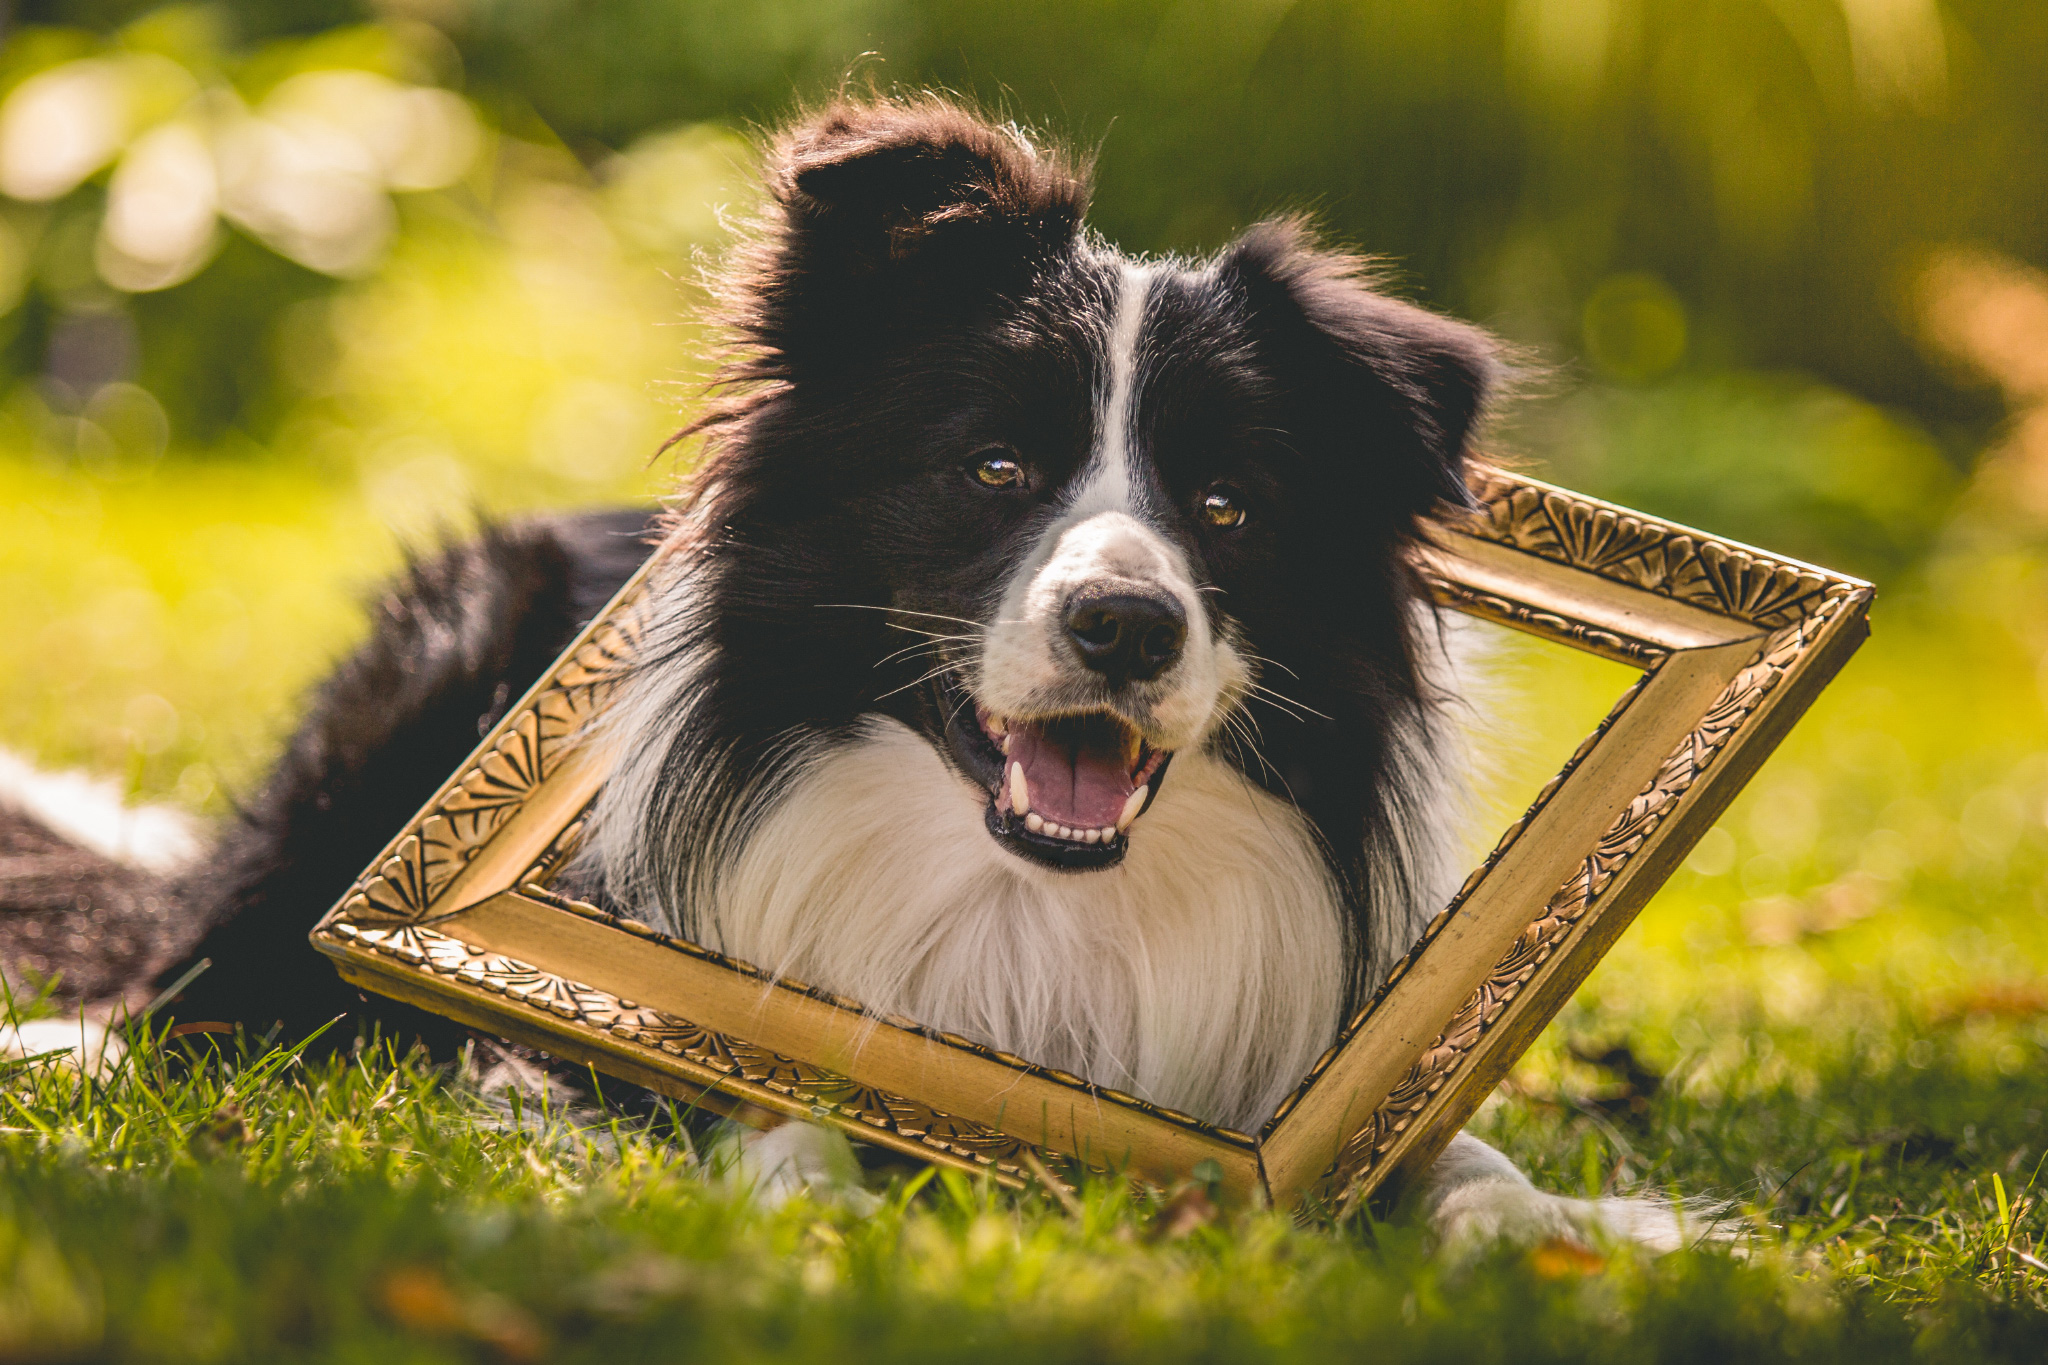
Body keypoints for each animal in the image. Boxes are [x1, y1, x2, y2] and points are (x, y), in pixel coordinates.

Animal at [0, 93, 1695, 1252]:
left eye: (1228, 508)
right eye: (996, 468)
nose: (1128, 628)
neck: (1029, 907)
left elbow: (1446, 1152)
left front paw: (1559, 1228)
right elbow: (729, 1089)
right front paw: (802, 1199)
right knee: (199, 987)